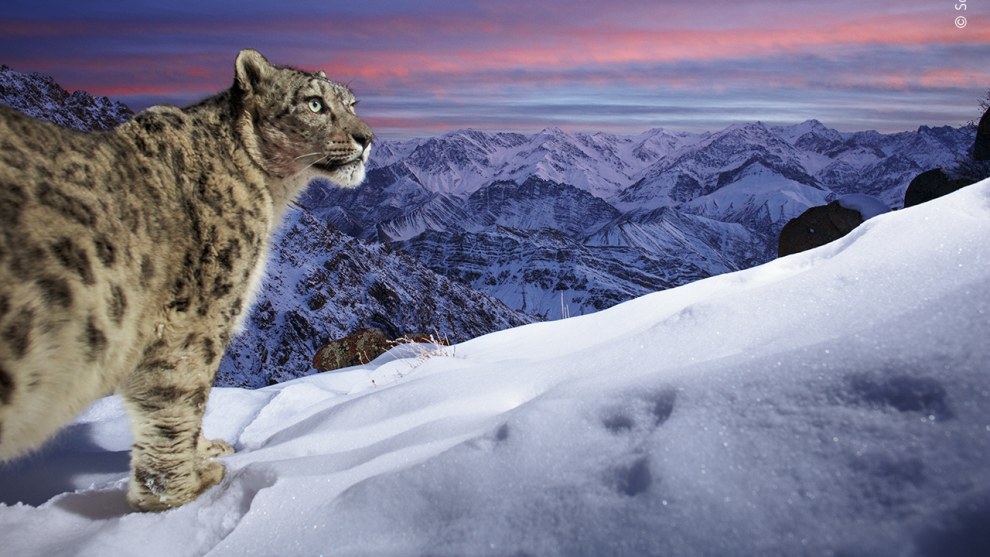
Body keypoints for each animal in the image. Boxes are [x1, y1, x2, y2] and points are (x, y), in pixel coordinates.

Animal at [0, 49, 373, 511]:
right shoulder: (197, 317)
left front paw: (206, 451)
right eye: (315, 104)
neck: (272, 195)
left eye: (351, 103)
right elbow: (179, 400)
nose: (366, 137)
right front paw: (183, 491)